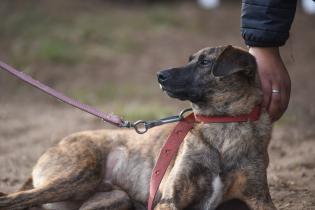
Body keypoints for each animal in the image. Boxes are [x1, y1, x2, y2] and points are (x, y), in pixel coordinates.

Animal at [0, 46, 276, 210]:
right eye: (191, 60)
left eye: (205, 62)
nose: (160, 75)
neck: (222, 123)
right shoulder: (169, 198)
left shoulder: (259, 197)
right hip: (79, 174)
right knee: (13, 199)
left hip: (112, 197)